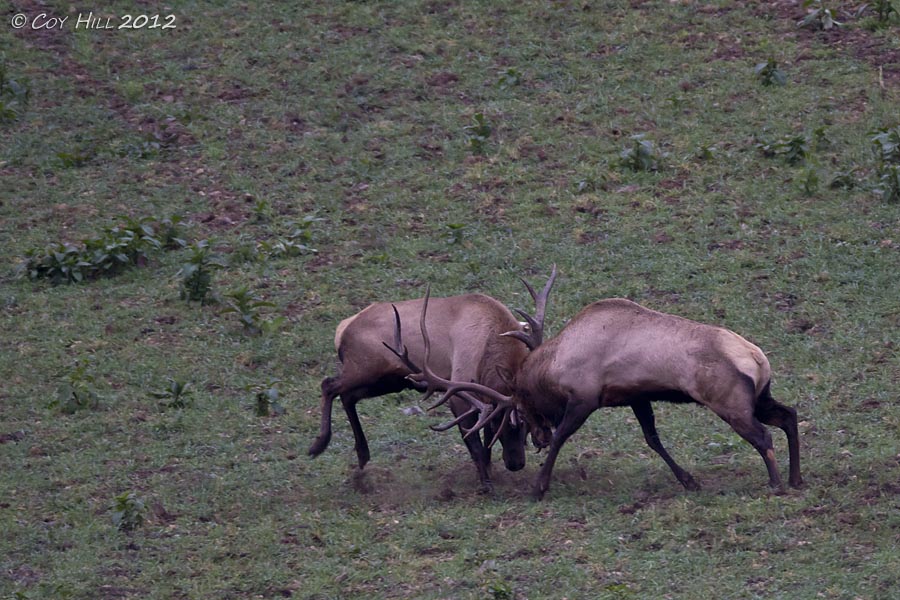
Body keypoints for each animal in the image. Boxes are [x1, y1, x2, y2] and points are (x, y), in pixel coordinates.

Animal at [307, 267, 557, 492]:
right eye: (506, 423)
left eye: (528, 421)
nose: (516, 464)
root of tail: (342, 329)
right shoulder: (459, 389)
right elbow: (475, 443)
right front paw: (486, 484)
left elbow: (484, 441)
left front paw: (489, 473)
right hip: (367, 367)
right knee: (329, 385)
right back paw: (318, 444)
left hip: (388, 381)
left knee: (347, 396)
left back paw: (361, 454)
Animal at [387, 289, 803, 500]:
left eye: (521, 411)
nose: (535, 440)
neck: (554, 364)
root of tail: (758, 358)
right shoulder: (636, 396)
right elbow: (653, 439)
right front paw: (688, 480)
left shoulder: (585, 398)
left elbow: (563, 439)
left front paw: (539, 486)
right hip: (760, 397)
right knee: (789, 416)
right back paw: (796, 478)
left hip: (730, 403)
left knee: (764, 435)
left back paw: (777, 483)